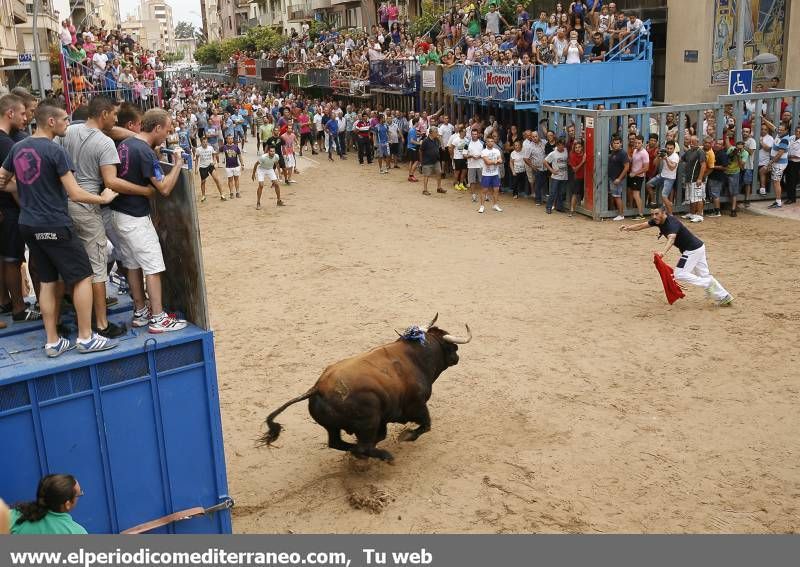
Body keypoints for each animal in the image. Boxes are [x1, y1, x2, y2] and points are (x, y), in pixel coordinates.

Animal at [258, 316, 468, 462]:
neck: (416, 358)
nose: (457, 356)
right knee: (363, 447)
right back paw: (384, 456)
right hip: (368, 421)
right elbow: (426, 425)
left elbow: (383, 434)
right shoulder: (417, 406)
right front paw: (406, 436)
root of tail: (318, 387)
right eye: (451, 346)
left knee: (338, 443)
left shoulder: (385, 417)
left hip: (336, 427)